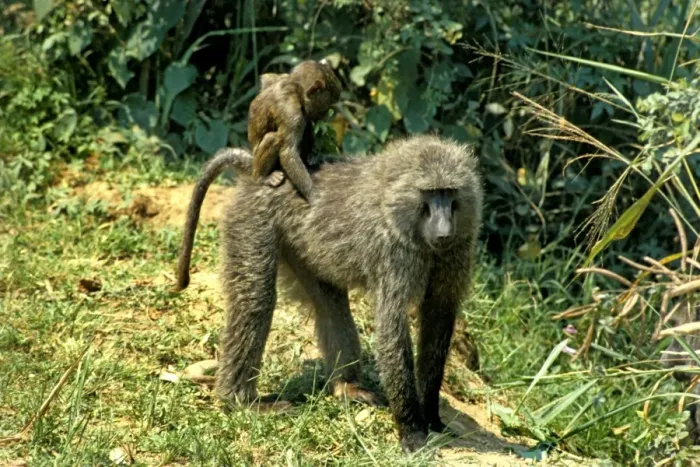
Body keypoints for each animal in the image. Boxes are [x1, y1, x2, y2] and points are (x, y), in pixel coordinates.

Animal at [188, 135, 483, 453]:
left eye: (449, 192)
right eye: (430, 193)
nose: (443, 232)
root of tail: (259, 173)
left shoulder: (458, 248)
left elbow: (438, 317)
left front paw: (431, 416)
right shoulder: (393, 252)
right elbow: (392, 327)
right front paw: (412, 431)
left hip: (304, 247)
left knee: (329, 304)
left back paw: (346, 387)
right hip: (252, 221)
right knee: (257, 300)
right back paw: (239, 400)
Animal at [247, 59, 341, 201]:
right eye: (326, 107)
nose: (326, 116)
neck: (295, 90)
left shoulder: (281, 78)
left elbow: (266, 79)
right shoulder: (291, 113)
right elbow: (288, 152)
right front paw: (314, 195)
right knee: (273, 138)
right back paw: (262, 177)